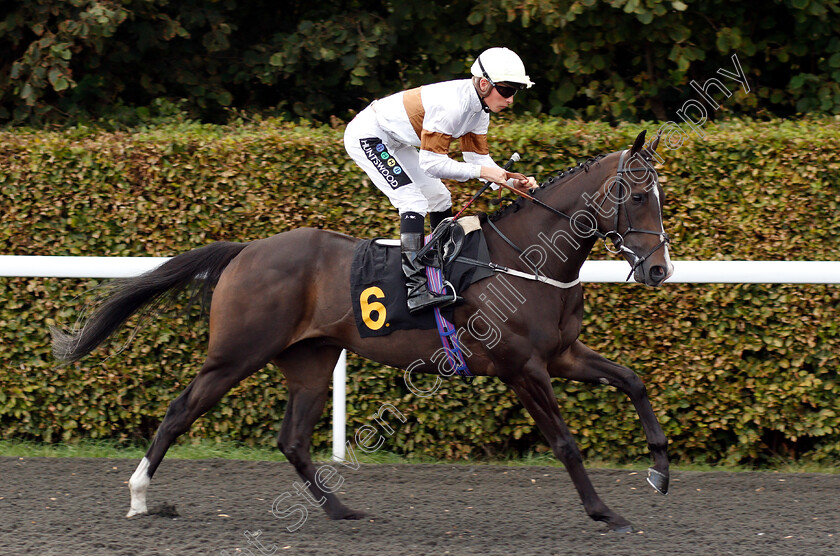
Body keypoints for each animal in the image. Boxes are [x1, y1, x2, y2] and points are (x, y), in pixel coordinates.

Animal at [52, 129, 672, 528]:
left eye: (662, 198)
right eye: (640, 195)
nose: (659, 270)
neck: (527, 258)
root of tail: (246, 250)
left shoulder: (563, 354)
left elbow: (633, 380)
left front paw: (659, 474)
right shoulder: (522, 368)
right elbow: (565, 442)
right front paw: (605, 512)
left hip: (312, 358)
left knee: (292, 439)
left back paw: (340, 509)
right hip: (235, 354)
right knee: (181, 411)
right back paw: (140, 498)